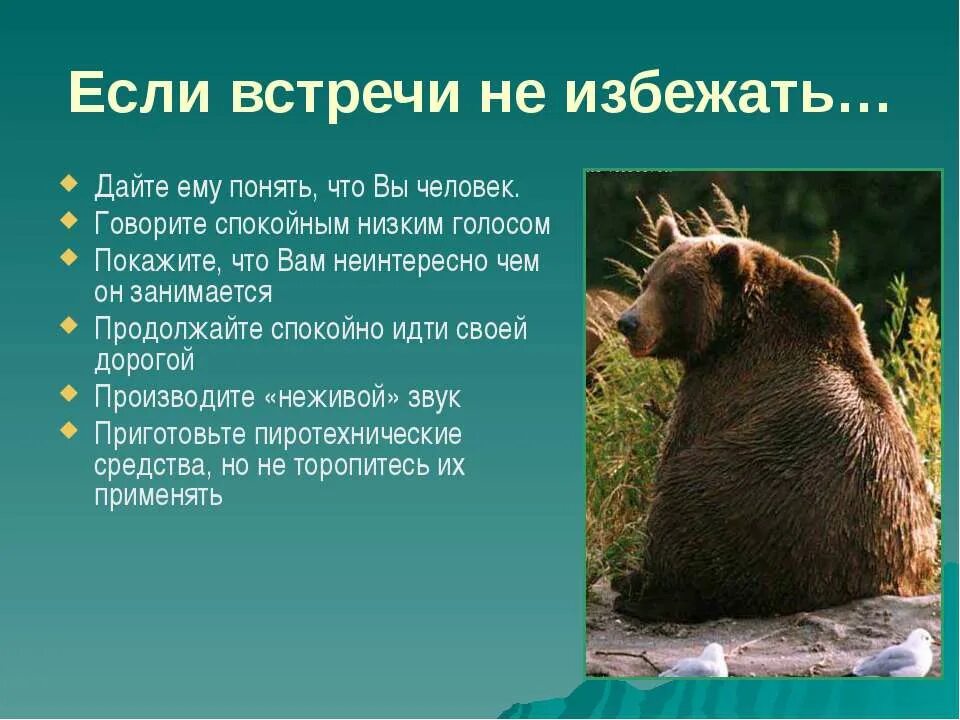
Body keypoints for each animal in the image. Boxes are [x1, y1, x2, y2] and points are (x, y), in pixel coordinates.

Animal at [613, 215, 937, 621]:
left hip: (754, 503)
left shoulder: (718, 383)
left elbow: (676, 448)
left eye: (672, 289)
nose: (628, 322)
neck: (731, 327)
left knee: (685, 500)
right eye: (647, 280)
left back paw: (638, 591)